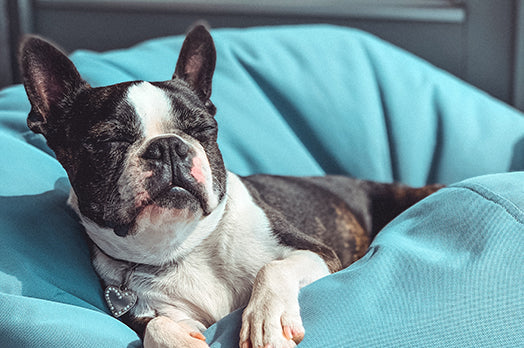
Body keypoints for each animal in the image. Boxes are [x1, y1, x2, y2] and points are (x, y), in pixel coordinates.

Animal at [21, 25, 442, 348]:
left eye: (203, 130)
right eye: (109, 140)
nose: (168, 146)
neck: (183, 247)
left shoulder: (319, 253)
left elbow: (273, 269)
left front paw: (266, 323)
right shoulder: (146, 311)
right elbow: (156, 327)